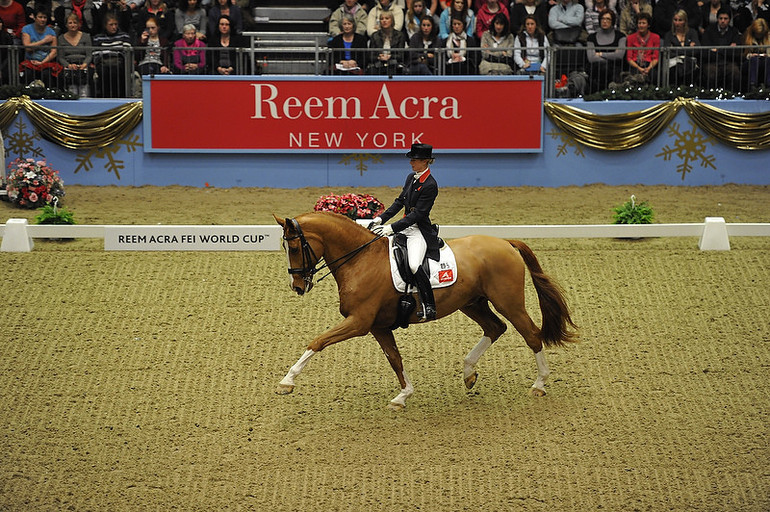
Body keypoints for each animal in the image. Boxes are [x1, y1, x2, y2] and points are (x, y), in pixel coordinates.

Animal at [272, 211, 572, 408]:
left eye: (295, 247)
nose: (297, 286)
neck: (361, 259)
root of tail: (506, 243)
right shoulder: (378, 326)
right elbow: (395, 359)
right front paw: (403, 395)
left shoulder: (359, 322)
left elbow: (318, 341)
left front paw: (287, 381)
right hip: (472, 303)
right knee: (495, 327)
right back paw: (468, 373)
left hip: (509, 302)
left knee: (531, 334)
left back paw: (539, 385)